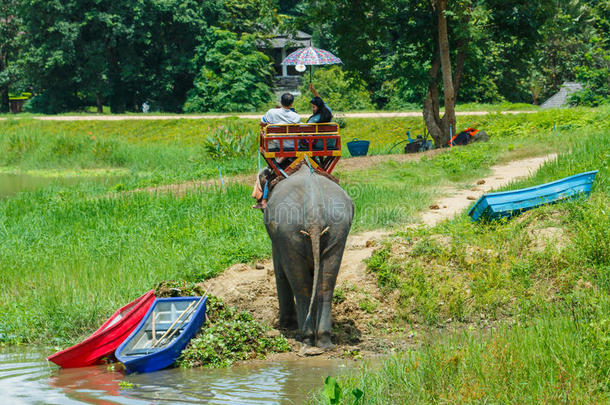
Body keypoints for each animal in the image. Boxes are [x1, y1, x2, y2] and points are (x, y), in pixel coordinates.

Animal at [262, 163, 352, 348]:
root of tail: (314, 211)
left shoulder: (277, 239)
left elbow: (280, 272)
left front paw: (286, 325)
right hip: (338, 230)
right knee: (326, 285)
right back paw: (323, 341)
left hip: (287, 232)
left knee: (300, 287)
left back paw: (305, 338)